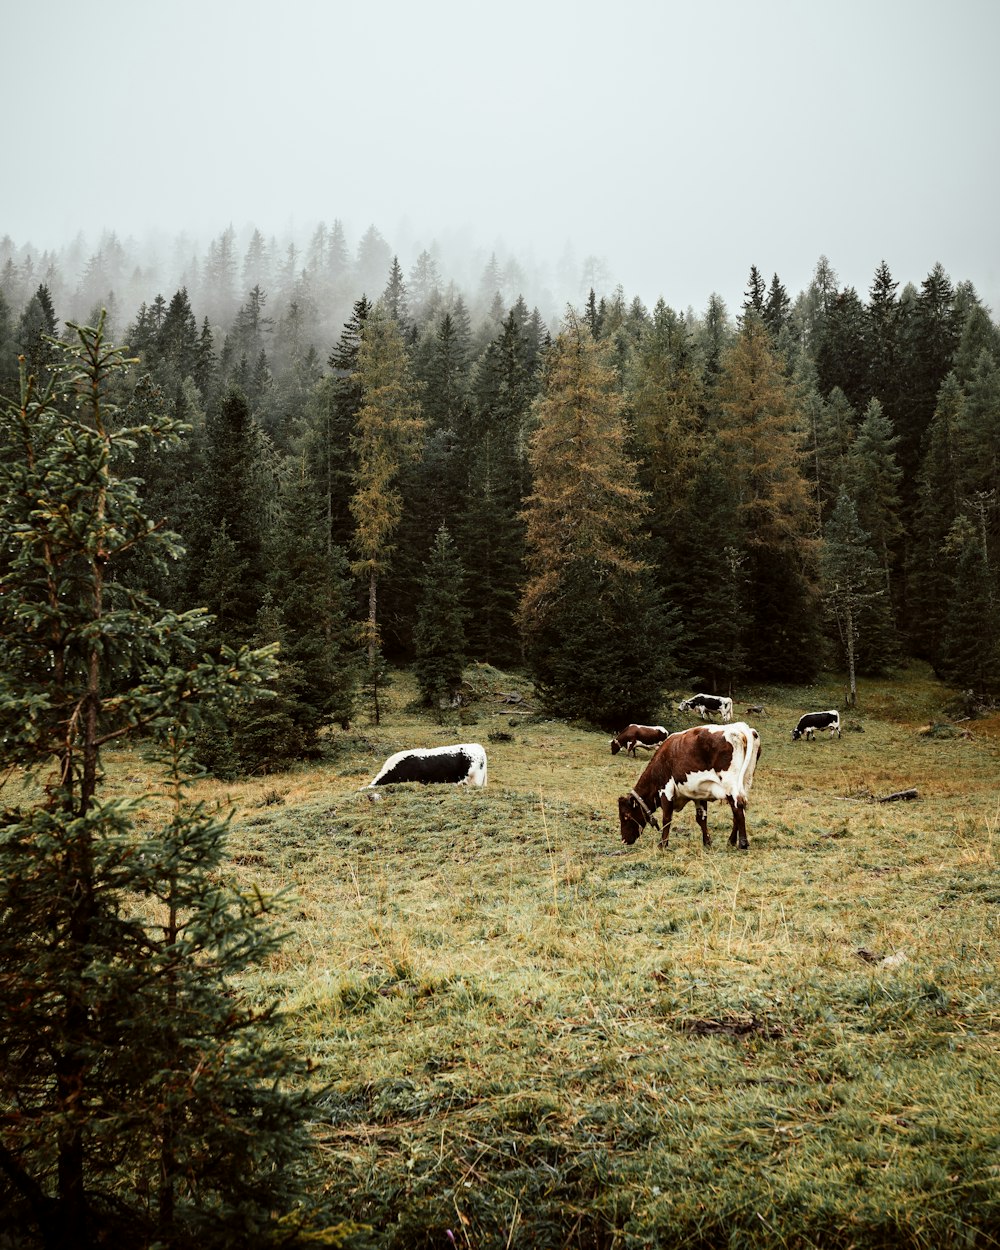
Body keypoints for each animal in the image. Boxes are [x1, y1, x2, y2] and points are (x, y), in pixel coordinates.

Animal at [612, 725, 760, 850]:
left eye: (626, 816)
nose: (623, 840)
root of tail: (740, 728)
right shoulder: (699, 794)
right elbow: (701, 819)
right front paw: (707, 842)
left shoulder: (666, 790)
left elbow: (667, 818)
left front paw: (662, 844)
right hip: (745, 782)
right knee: (740, 809)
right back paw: (731, 841)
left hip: (730, 784)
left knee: (737, 808)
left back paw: (742, 843)